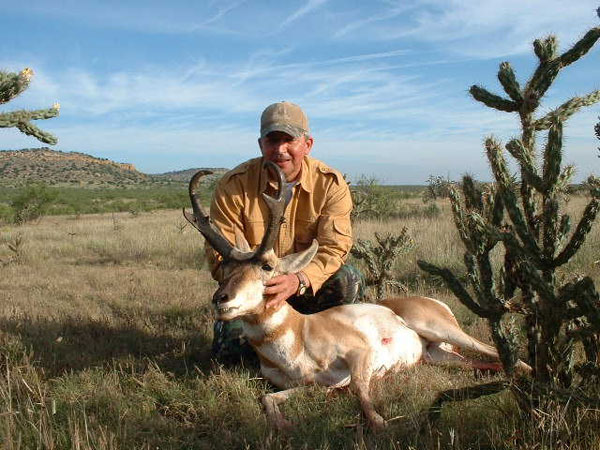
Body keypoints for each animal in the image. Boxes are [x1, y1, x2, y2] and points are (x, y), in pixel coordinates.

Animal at [184, 163, 528, 430]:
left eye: (267, 266)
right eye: (225, 266)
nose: (222, 300)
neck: (300, 334)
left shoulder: (359, 352)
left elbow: (361, 392)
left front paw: (380, 421)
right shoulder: (306, 384)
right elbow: (266, 397)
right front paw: (283, 423)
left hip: (443, 330)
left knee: (501, 353)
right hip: (438, 355)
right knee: (483, 362)